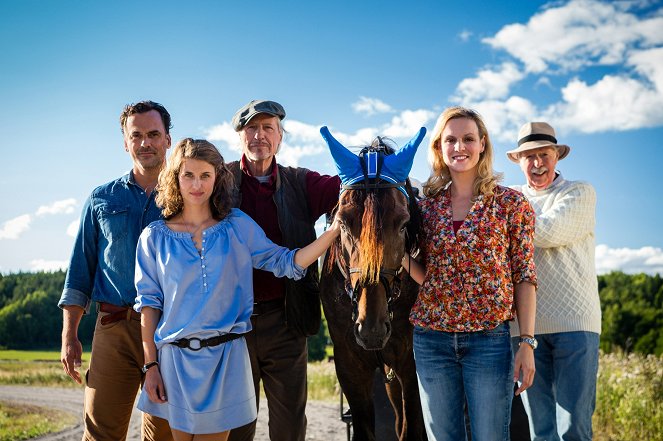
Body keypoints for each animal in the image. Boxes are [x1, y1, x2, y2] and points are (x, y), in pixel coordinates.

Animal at [320, 125, 430, 438]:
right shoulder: (350, 366)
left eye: (403, 224)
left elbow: (413, 427)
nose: (371, 328)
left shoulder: (411, 364)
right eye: (343, 224)